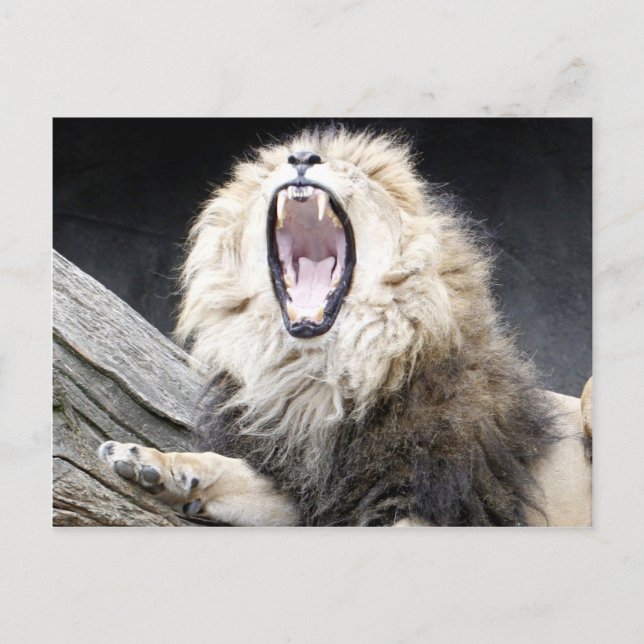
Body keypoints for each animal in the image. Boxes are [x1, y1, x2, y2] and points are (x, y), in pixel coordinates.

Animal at [97, 127, 592, 526]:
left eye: (354, 173)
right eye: (276, 166)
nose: (301, 157)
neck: (322, 375)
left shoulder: (454, 498)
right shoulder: (314, 491)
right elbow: (230, 470)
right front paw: (153, 464)